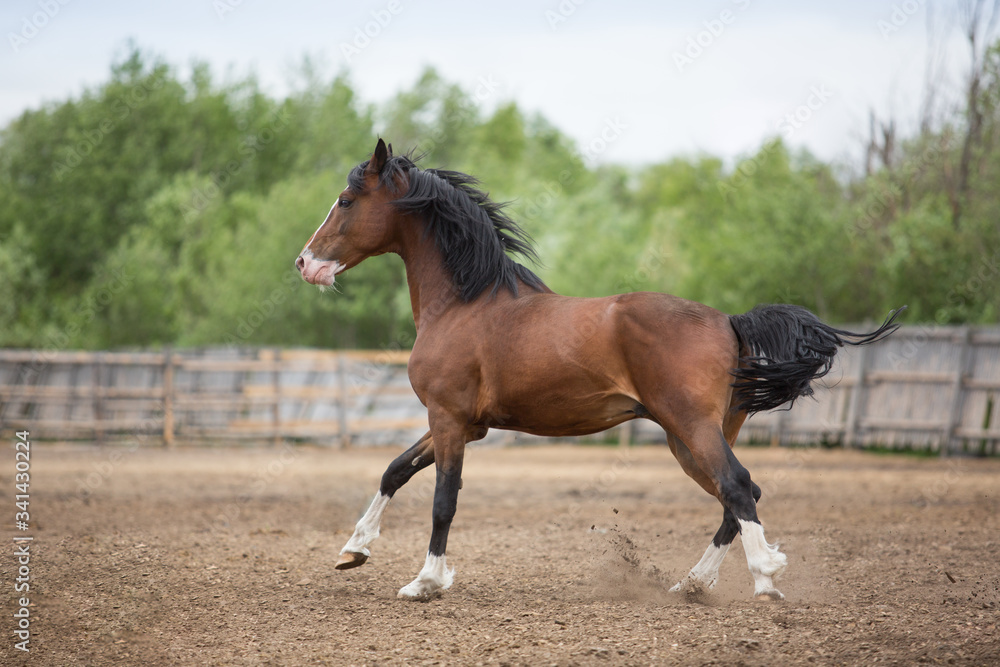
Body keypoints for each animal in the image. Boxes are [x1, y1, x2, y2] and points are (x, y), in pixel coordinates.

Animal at [292, 138, 904, 604]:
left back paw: (766, 582)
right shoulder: (466, 424)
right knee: (741, 492)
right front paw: (354, 550)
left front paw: (424, 582)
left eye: (346, 200)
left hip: (692, 429)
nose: (305, 263)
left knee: (736, 488)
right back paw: (692, 584)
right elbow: (395, 470)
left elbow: (444, 498)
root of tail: (728, 322)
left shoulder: (448, 419)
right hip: (692, 438)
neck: (466, 304)